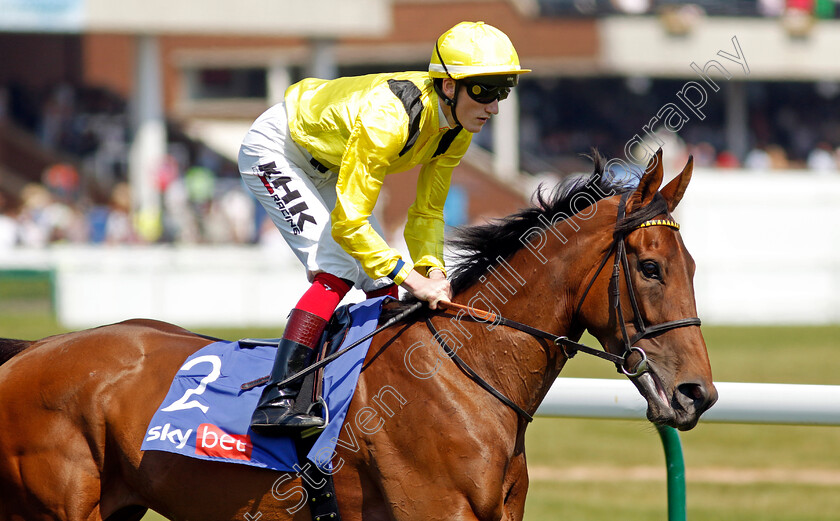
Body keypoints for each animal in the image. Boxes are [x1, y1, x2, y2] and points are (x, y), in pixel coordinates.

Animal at [0, 148, 716, 516]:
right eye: (650, 268)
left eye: (691, 265)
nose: (698, 395)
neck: (465, 375)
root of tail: (31, 351)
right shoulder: (436, 511)